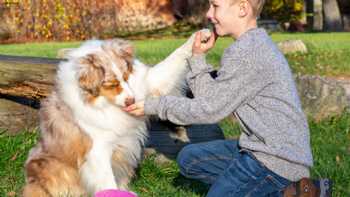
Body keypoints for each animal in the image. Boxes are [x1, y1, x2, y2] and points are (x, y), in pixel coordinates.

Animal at [23, 28, 211, 196]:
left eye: (126, 77)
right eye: (111, 84)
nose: (131, 101)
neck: (104, 102)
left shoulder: (149, 81)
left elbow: (174, 57)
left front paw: (200, 36)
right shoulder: (97, 150)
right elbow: (106, 180)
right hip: (47, 165)